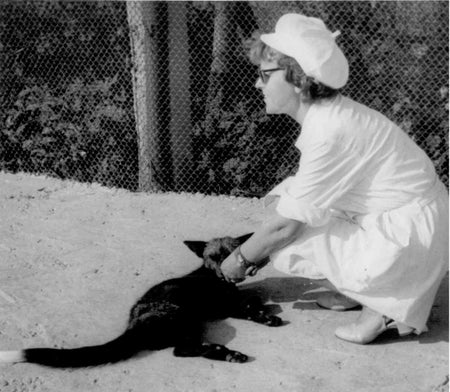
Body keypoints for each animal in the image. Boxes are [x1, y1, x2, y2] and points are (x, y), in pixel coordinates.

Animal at [0, 234, 282, 370]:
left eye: (228, 254)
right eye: (212, 257)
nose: (223, 272)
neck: (216, 281)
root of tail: (131, 327)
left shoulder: (231, 302)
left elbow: (251, 301)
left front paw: (263, 310)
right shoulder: (224, 307)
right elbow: (249, 305)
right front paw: (266, 315)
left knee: (184, 349)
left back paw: (223, 352)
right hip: (185, 318)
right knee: (181, 351)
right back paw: (227, 352)